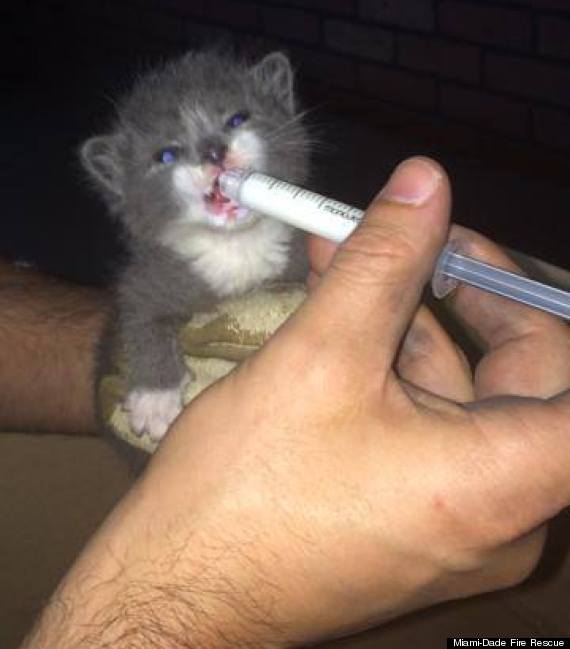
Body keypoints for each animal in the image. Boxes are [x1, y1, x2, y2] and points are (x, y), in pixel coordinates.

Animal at [80, 50, 308, 440]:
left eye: (237, 118)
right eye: (166, 155)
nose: (213, 151)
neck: (235, 244)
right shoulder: (146, 278)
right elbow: (140, 319)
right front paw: (154, 399)